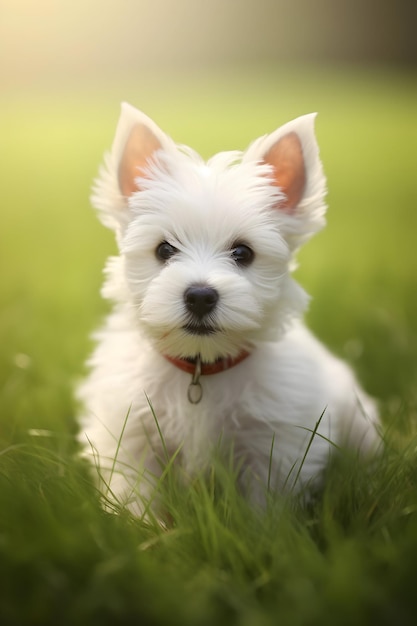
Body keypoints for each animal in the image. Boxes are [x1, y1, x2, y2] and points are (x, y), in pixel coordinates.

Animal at [78, 103, 380, 512]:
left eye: (242, 252)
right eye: (164, 249)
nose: (200, 296)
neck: (201, 369)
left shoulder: (274, 444)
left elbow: (266, 507)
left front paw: (265, 530)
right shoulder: (131, 435)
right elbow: (136, 496)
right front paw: (137, 526)